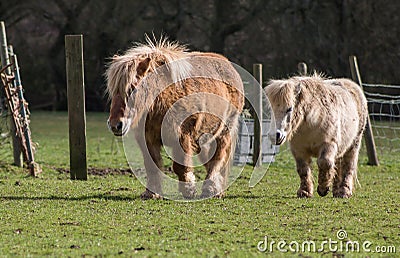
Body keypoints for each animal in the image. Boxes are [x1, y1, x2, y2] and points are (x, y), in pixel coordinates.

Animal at [105, 37, 244, 200]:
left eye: (133, 88)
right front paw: (151, 193)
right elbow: (151, 166)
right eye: (113, 90)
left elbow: (180, 166)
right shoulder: (147, 139)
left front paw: (188, 190)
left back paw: (209, 189)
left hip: (224, 130)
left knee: (218, 157)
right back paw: (217, 189)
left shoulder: (182, 136)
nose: (115, 125)